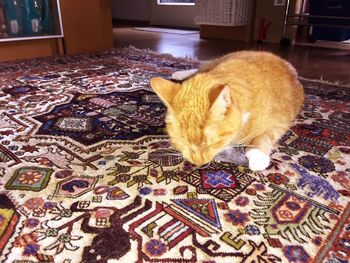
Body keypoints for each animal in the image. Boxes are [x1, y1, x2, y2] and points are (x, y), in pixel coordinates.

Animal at [150, 50, 304, 172]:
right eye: (182, 142)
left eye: (211, 144)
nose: (198, 163)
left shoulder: (280, 122)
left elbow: (264, 136)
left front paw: (257, 155)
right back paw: (180, 73)